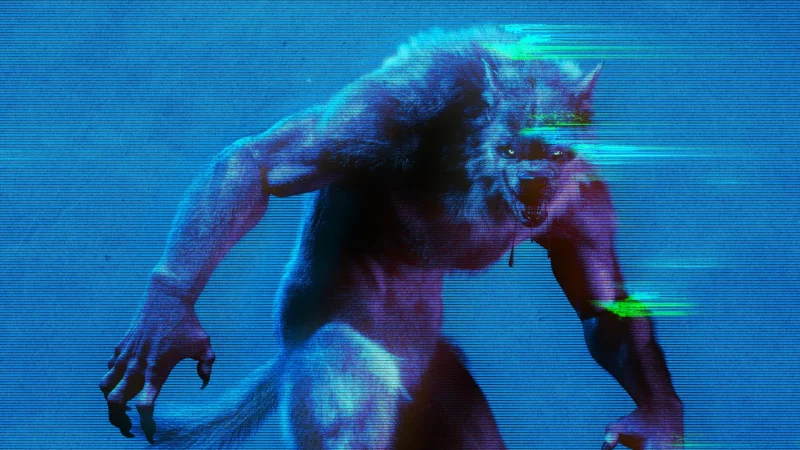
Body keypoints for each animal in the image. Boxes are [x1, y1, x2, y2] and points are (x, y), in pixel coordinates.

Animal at [100, 26, 684, 449]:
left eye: (557, 152)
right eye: (510, 149)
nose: (533, 183)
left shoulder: (584, 204)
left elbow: (603, 303)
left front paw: (659, 420)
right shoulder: (392, 108)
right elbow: (261, 162)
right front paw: (167, 316)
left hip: (437, 389)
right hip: (330, 371)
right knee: (346, 378)